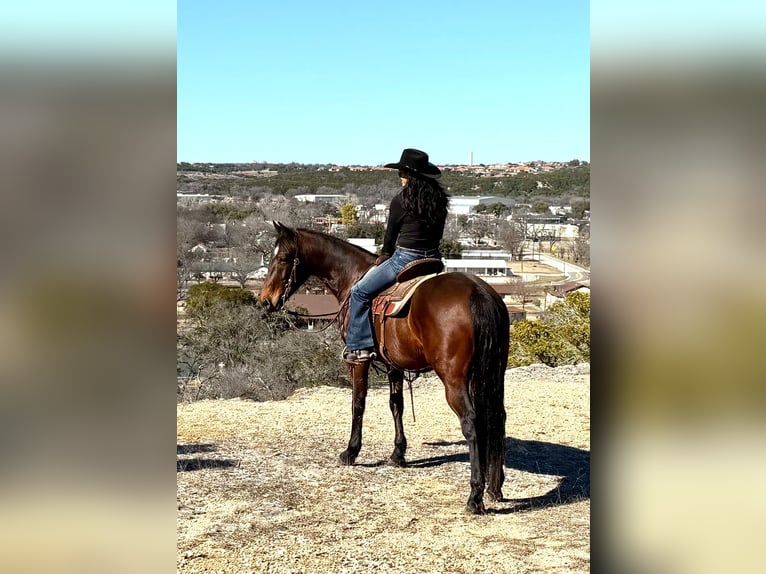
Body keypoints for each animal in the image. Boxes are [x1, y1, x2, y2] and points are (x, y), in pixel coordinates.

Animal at [260, 223, 510, 516]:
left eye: (283, 258)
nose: (265, 301)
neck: (352, 277)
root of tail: (477, 291)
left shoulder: (357, 360)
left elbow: (358, 403)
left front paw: (351, 451)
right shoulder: (394, 364)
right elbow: (396, 404)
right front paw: (398, 454)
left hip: (454, 379)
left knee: (471, 422)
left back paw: (475, 496)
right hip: (494, 372)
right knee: (497, 417)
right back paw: (495, 487)